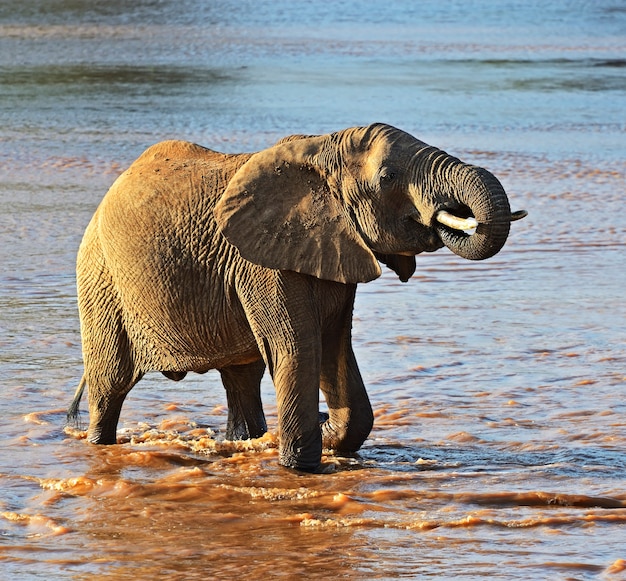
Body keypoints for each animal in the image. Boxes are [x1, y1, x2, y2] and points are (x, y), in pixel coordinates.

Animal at [67, 122, 528, 472]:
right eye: (387, 178)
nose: (453, 216)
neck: (324, 149)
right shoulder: (261, 264)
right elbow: (299, 347)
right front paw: (302, 466)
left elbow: (335, 347)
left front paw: (327, 434)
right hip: (100, 280)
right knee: (110, 384)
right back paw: (99, 442)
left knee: (242, 379)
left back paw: (247, 441)